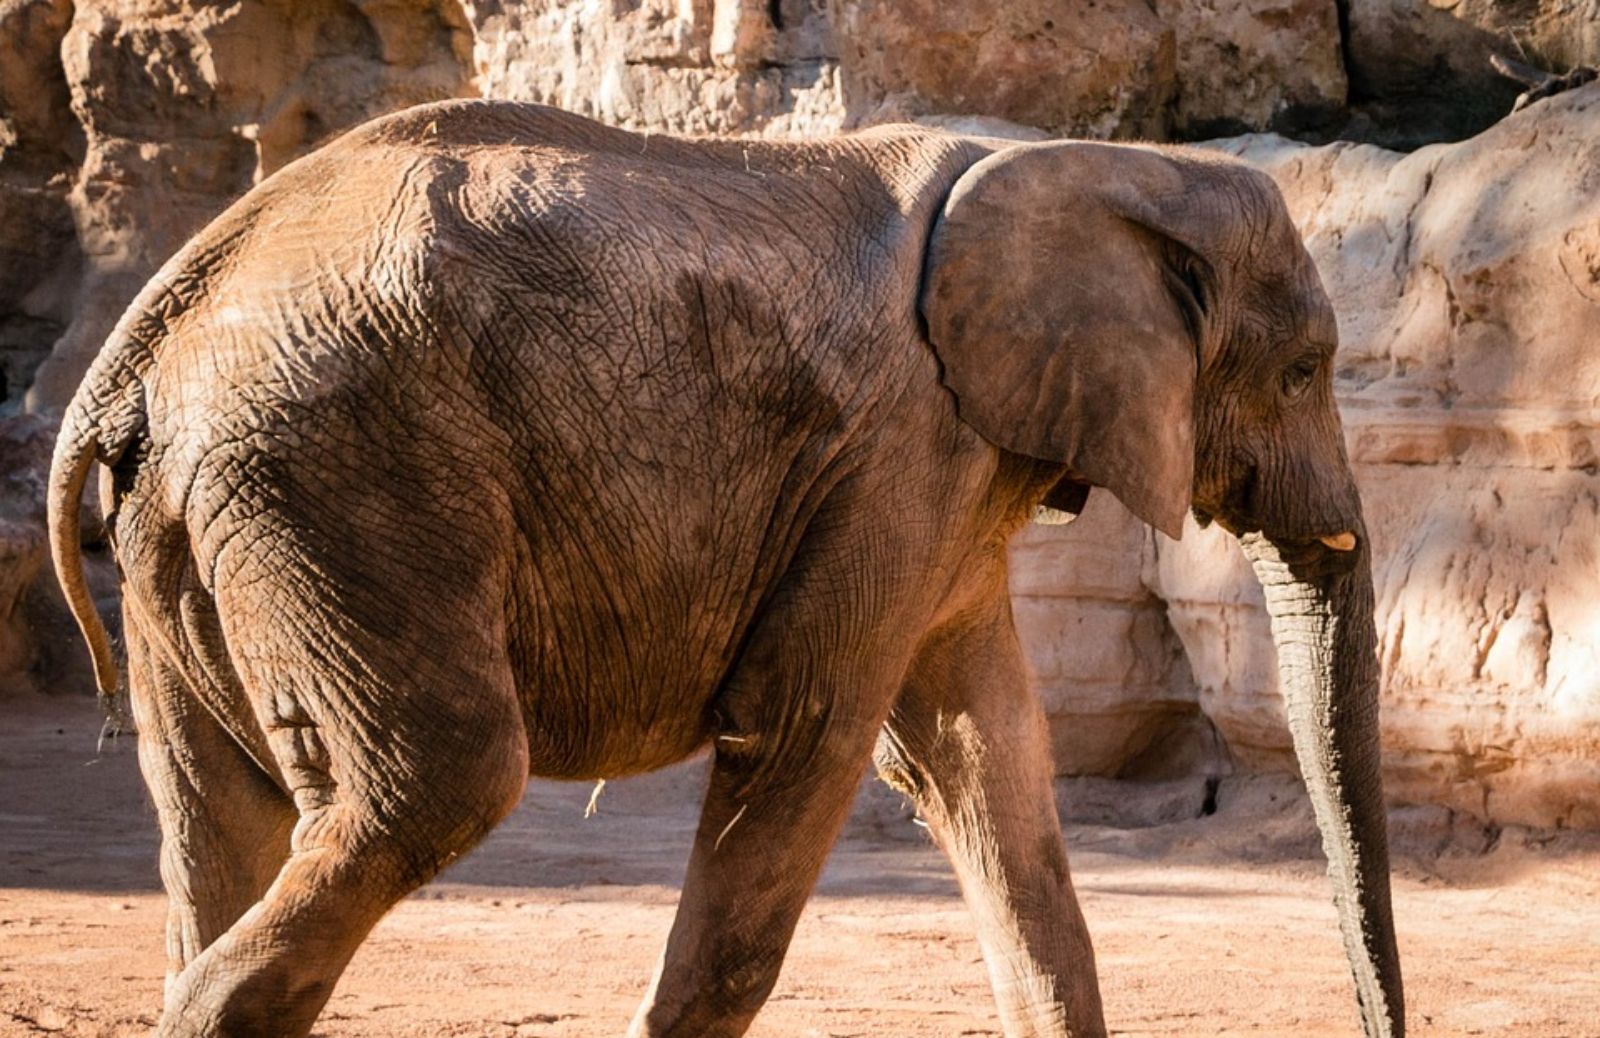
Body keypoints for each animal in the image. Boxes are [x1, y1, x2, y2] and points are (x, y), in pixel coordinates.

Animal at [46, 103, 1401, 1036]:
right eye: (1303, 370)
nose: (1375, 1020)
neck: (1094, 162)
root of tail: (151, 327)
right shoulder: (901, 451)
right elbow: (812, 731)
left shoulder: (944, 479)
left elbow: (988, 760)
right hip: (341, 471)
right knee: (439, 778)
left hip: (205, 515)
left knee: (218, 806)